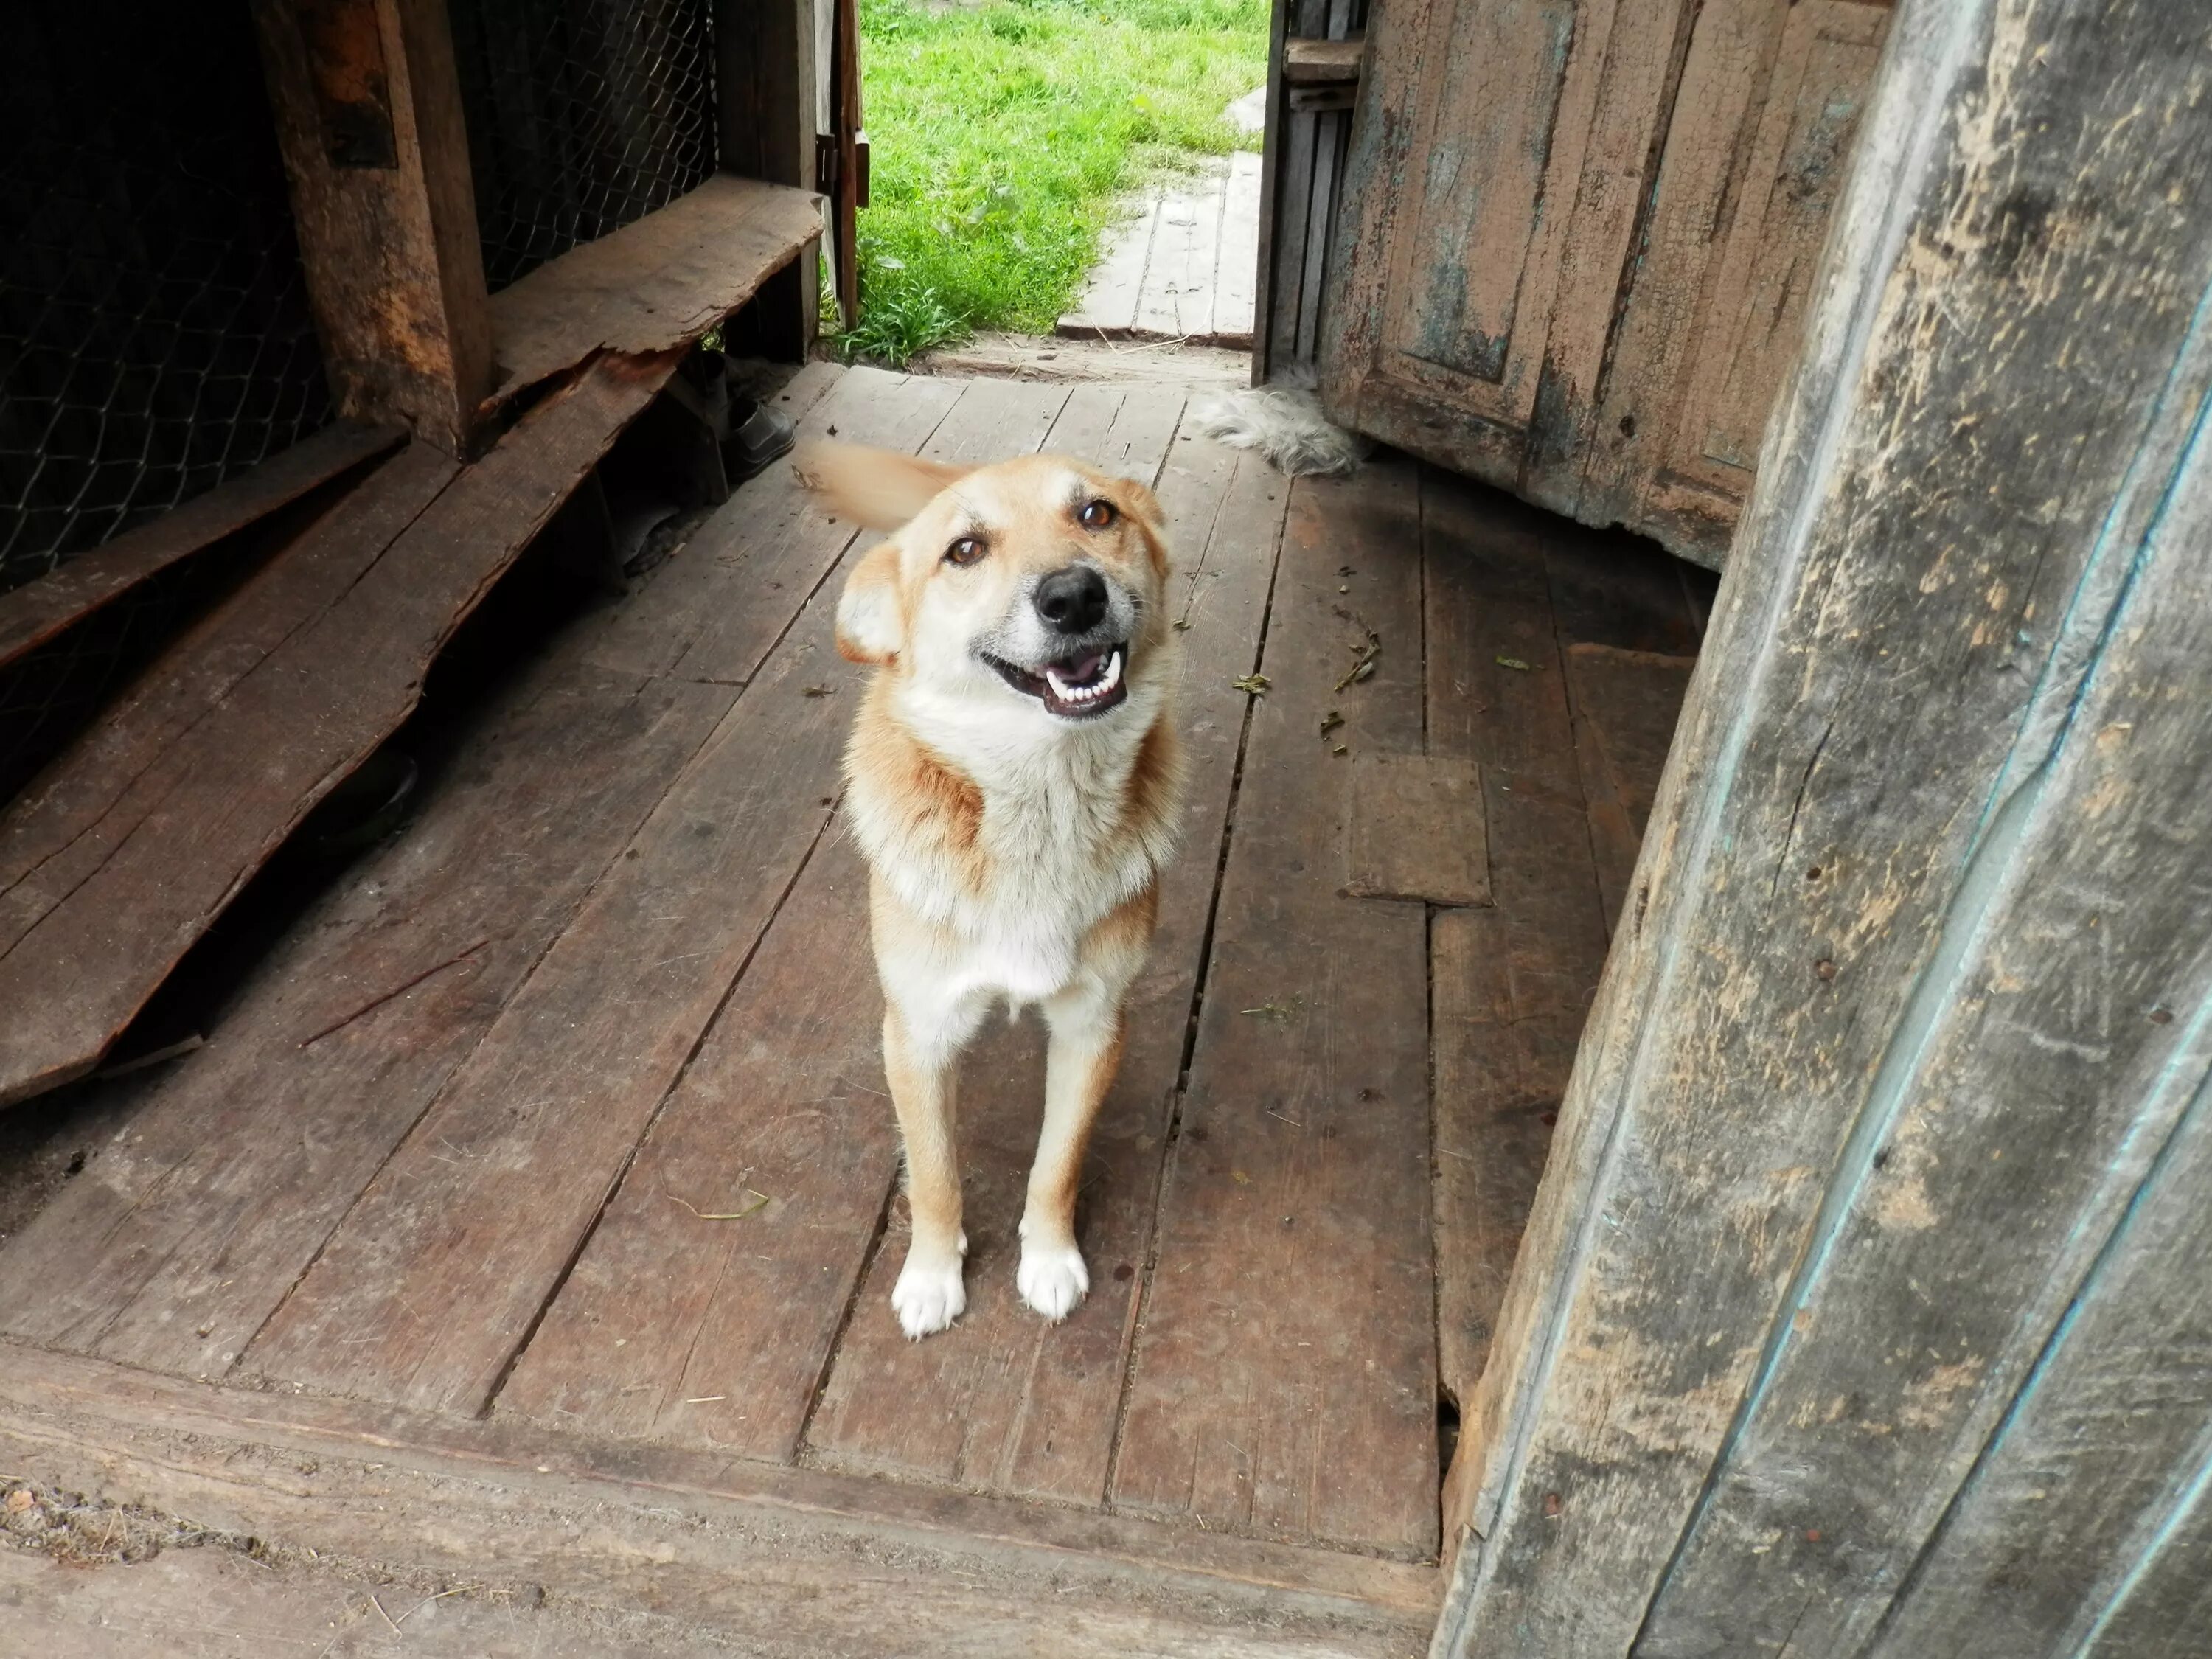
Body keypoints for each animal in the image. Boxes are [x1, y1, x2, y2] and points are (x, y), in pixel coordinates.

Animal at [805, 438, 1186, 1336]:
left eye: (1096, 514)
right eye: (966, 551)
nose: (1075, 595)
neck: (1036, 798)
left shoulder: (1093, 1027)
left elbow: (1056, 1165)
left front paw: (1048, 1260)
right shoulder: (916, 1035)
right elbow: (935, 1175)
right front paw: (932, 1276)